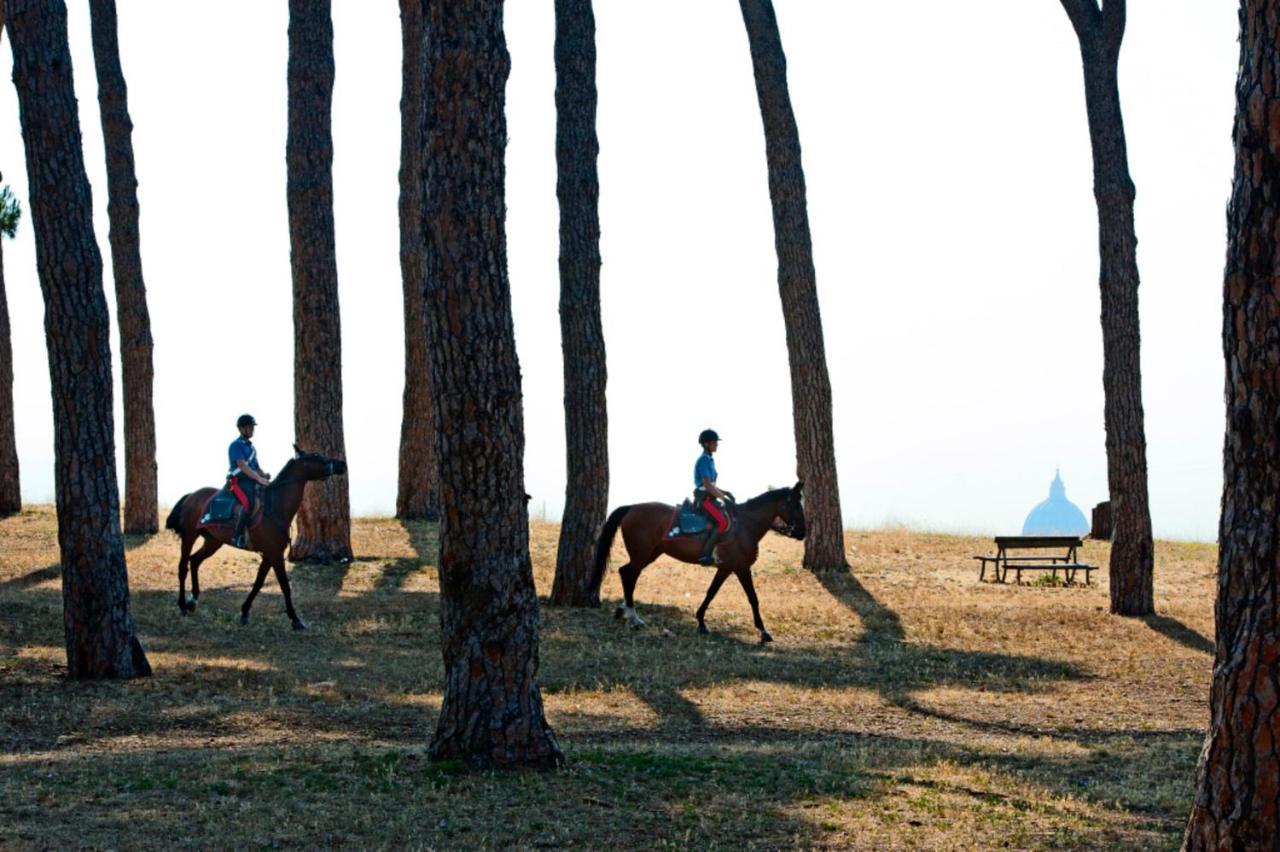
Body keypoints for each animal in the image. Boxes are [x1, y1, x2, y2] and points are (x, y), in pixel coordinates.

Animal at [165, 447, 348, 626]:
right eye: (317, 456)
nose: (342, 464)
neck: (275, 507)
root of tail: (191, 496)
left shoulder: (269, 555)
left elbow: (258, 583)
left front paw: (245, 612)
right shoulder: (275, 555)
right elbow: (284, 586)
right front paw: (295, 619)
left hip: (213, 541)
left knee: (195, 561)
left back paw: (193, 600)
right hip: (189, 536)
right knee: (183, 567)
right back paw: (182, 605)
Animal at [586, 481, 798, 639]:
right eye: (796, 504)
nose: (801, 533)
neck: (745, 526)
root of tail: (631, 508)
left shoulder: (726, 568)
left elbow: (711, 592)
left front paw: (701, 622)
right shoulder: (741, 567)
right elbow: (753, 597)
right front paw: (763, 631)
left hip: (650, 554)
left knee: (626, 573)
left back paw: (623, 611)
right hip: (642, 554)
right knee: (629, 574)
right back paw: (634, 617)